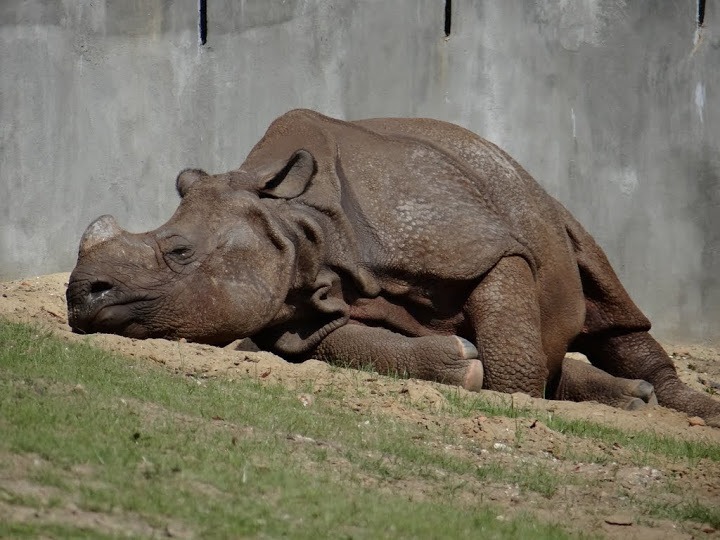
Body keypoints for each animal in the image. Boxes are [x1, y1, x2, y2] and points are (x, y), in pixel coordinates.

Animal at [67, 109, 720, 426]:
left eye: (177, 253)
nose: (78, 298)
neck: (302, 225)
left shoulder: (476, 240)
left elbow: (507, 308)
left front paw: (513, 395)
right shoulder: (300, 302)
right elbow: (350, 346)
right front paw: (460, 363)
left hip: (541, 204)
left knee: (606, 298)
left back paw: (673, 406)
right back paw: (632, 401)